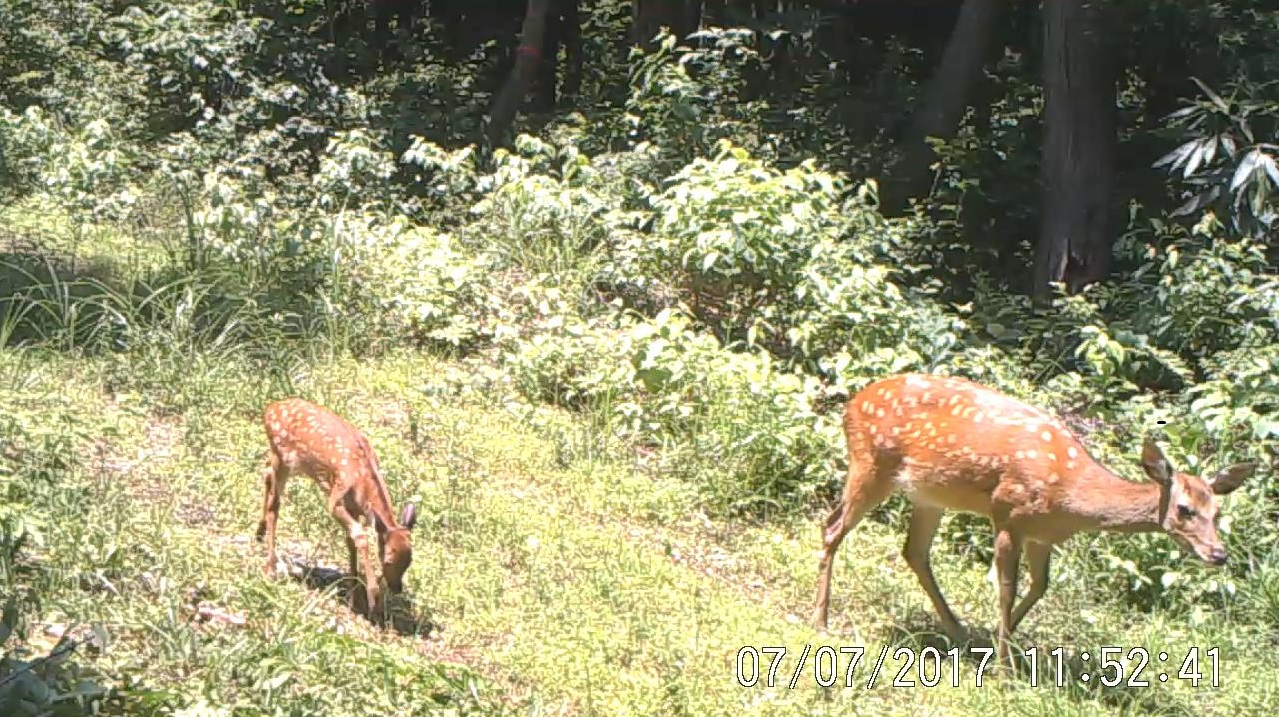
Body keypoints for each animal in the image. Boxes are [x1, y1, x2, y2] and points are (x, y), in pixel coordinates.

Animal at [255, 396, 419, 621]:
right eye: (388, 560)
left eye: (409, 560)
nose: (396, 588)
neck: (362, 481)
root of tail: (270, 408)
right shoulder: (336, 499)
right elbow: (360, 535)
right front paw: (372, 598)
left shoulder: (355, 508)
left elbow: (350, 541)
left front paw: (354, 598)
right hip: (283, 456)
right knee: (275, 503)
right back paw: (270, 567)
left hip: (280, 458)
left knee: (266, 473)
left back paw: (259, 532)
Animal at [813, 370, 1253, 664]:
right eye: (1184, 509)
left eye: (1217, 512)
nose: (1218, 555)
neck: (1072, 497)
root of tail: (851, 404)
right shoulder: (1008, 513)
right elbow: (1007, 588)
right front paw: (1004, 667)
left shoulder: (1043, 535)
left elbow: (1040, 586)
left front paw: (1000, 645)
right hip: (872, 463)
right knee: (832, 526)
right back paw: (821, 621)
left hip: (929, 495)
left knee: (914, 552)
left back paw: (958, 631)